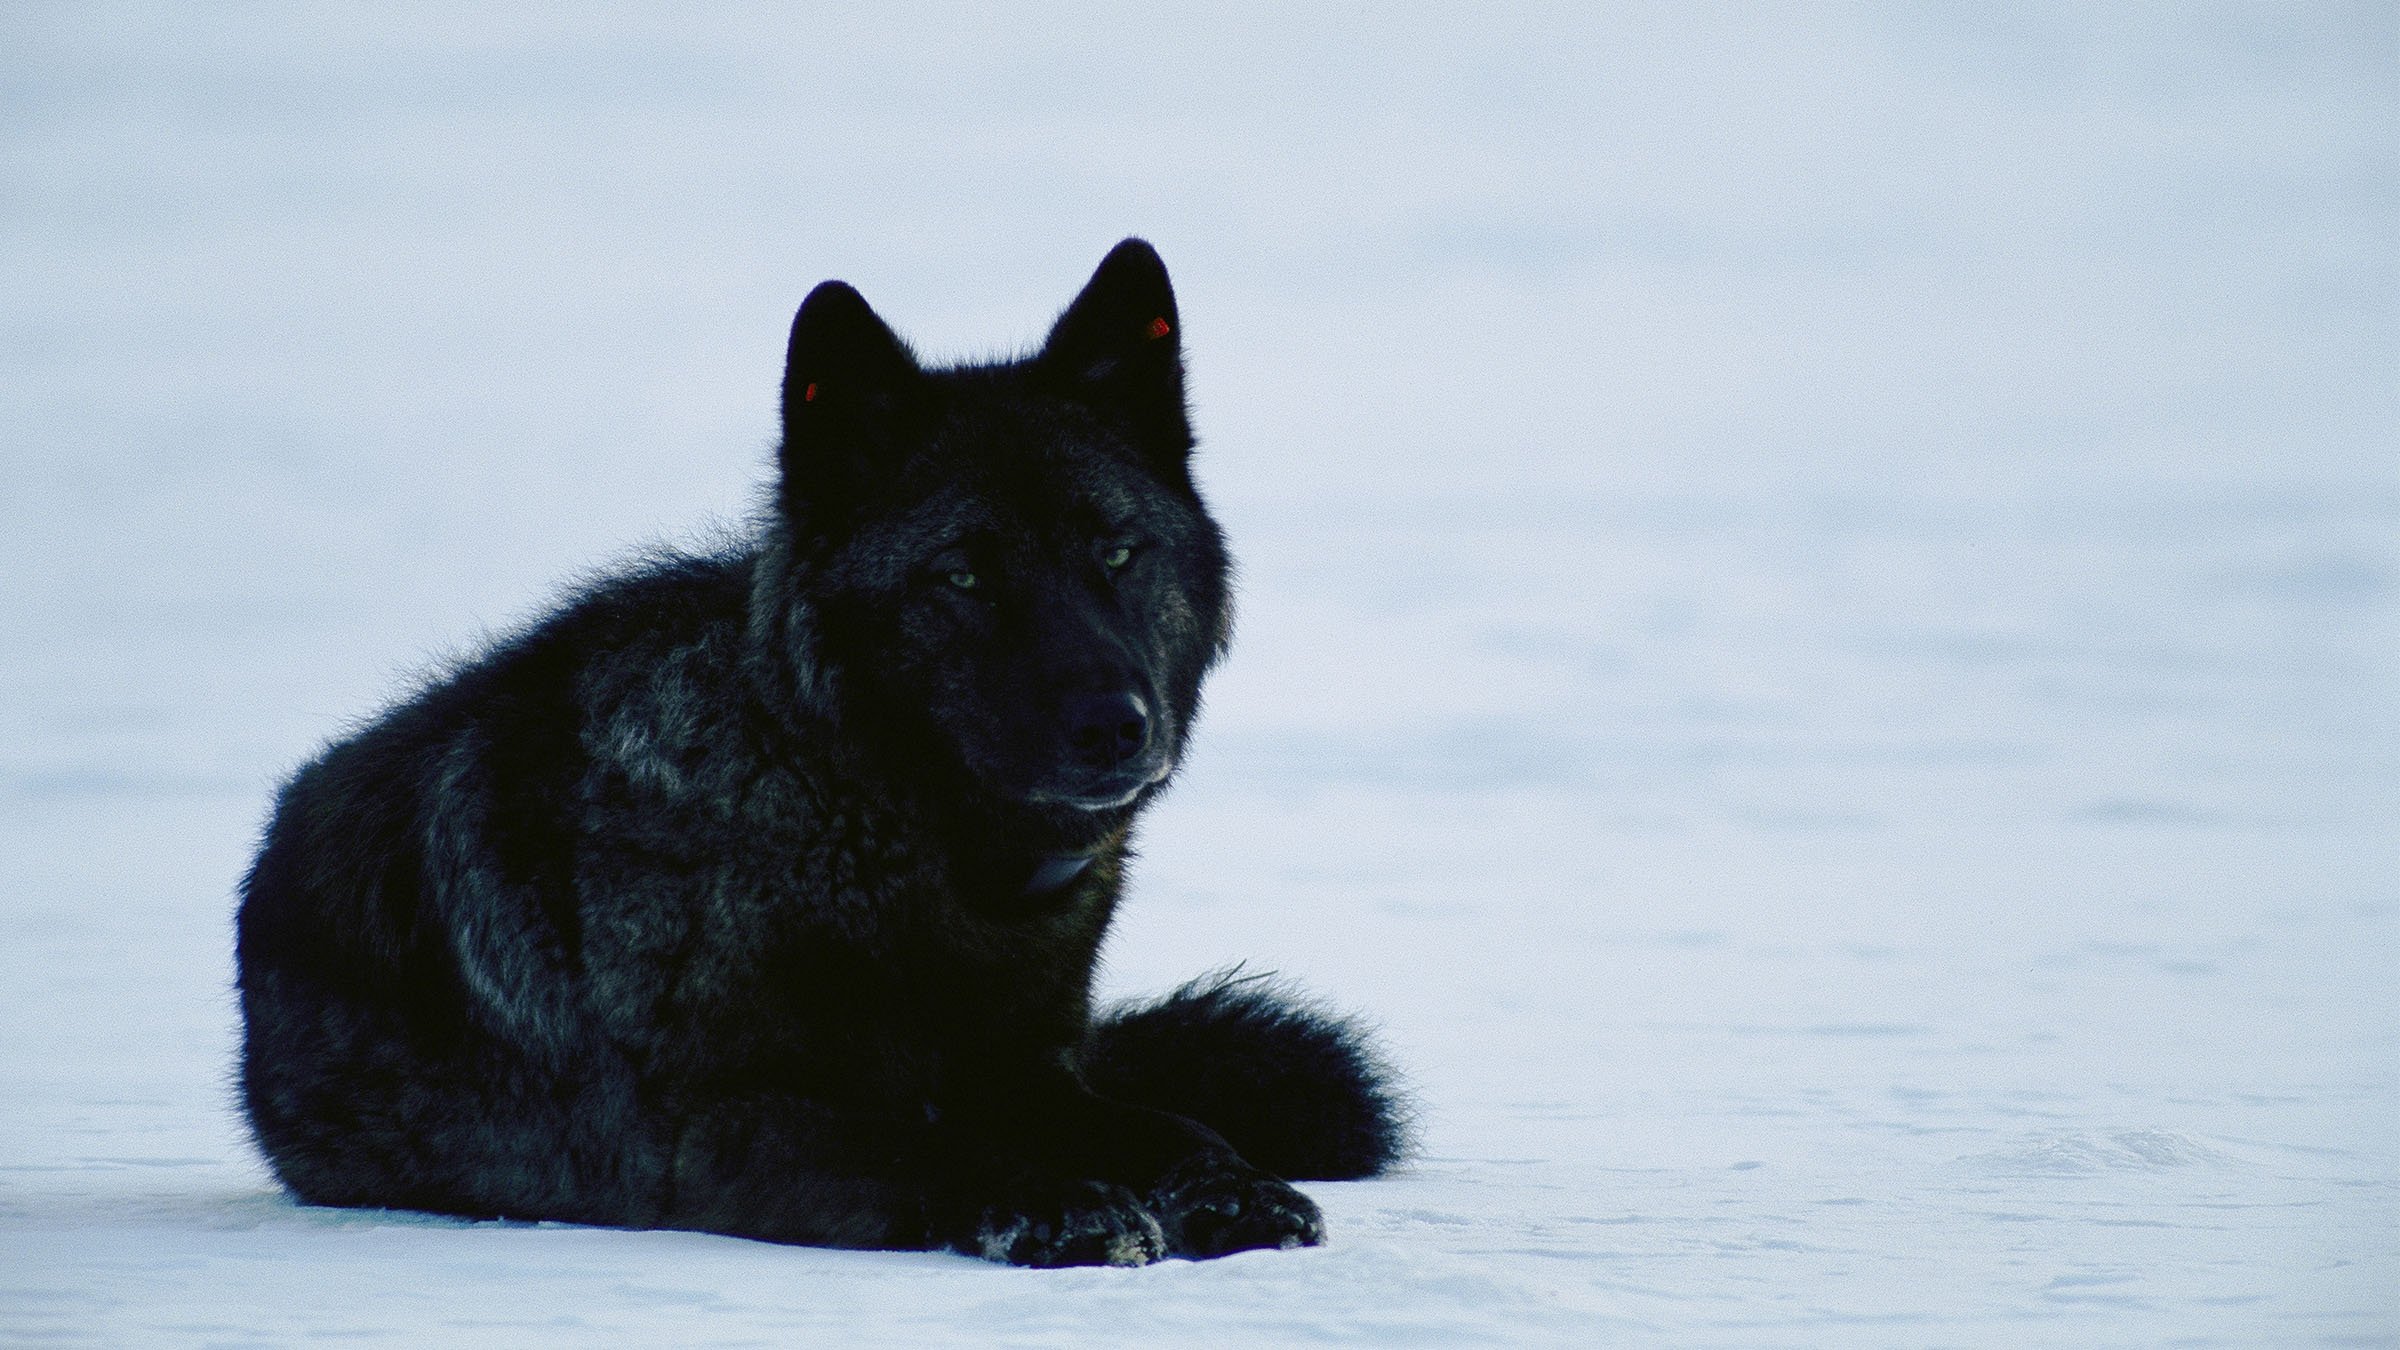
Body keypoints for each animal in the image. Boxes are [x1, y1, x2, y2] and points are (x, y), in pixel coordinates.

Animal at [235, 240, 1409, 1266]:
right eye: (964, 577)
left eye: (1117, 553)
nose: (1118, 726)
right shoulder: (715, 1132)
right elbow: (927, 1143)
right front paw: (1061, 1205)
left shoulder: (1035, 1074)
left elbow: (1166, 1125)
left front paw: (1234, 1190)